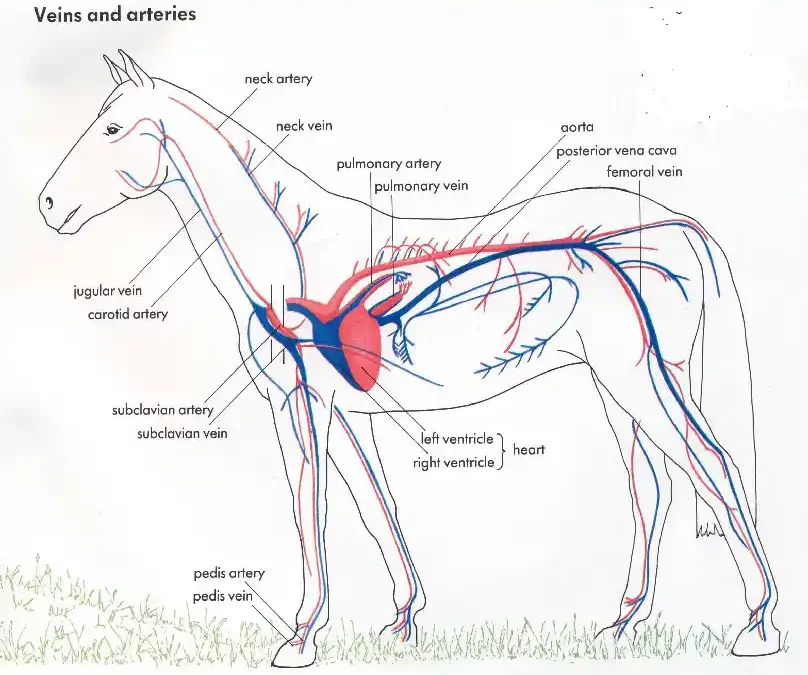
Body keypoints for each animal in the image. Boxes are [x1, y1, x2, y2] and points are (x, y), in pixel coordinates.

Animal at [38, 51, 781, 665]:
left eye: (112, 128)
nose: (47, 204)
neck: (291, 259)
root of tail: (670, 226)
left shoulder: (306, 403)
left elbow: (312, 507)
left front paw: (300, 639)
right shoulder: (342, 409)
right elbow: (374, 506)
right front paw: (401, 620)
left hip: (635, 378)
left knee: (710, 465)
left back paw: (756, 625)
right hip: (624, 382)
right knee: (655, 486)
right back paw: (624, 624)